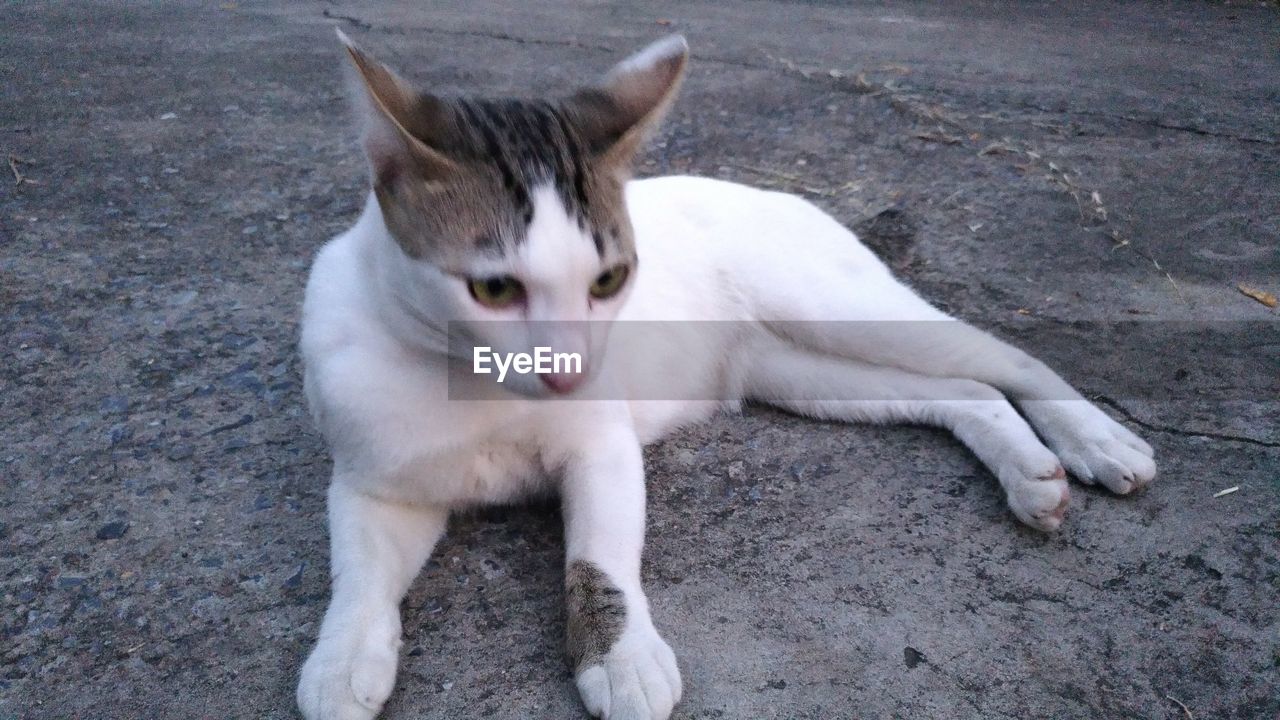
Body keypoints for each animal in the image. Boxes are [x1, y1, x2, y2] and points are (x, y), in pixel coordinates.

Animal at [299, 30, 1162, 717]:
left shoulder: (601, 449)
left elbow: (599, 560)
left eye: (609, 279)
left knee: (1005, 358)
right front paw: (342, 658)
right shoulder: (376, 484)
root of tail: (784, 194)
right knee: (964, 392)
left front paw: (620, 656)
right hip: (801, 371)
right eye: (493, 290)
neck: (475, 387)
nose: (571, 370)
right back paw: (1029, 473)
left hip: (838, 310)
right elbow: (357, 576)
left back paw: (1095, 439)